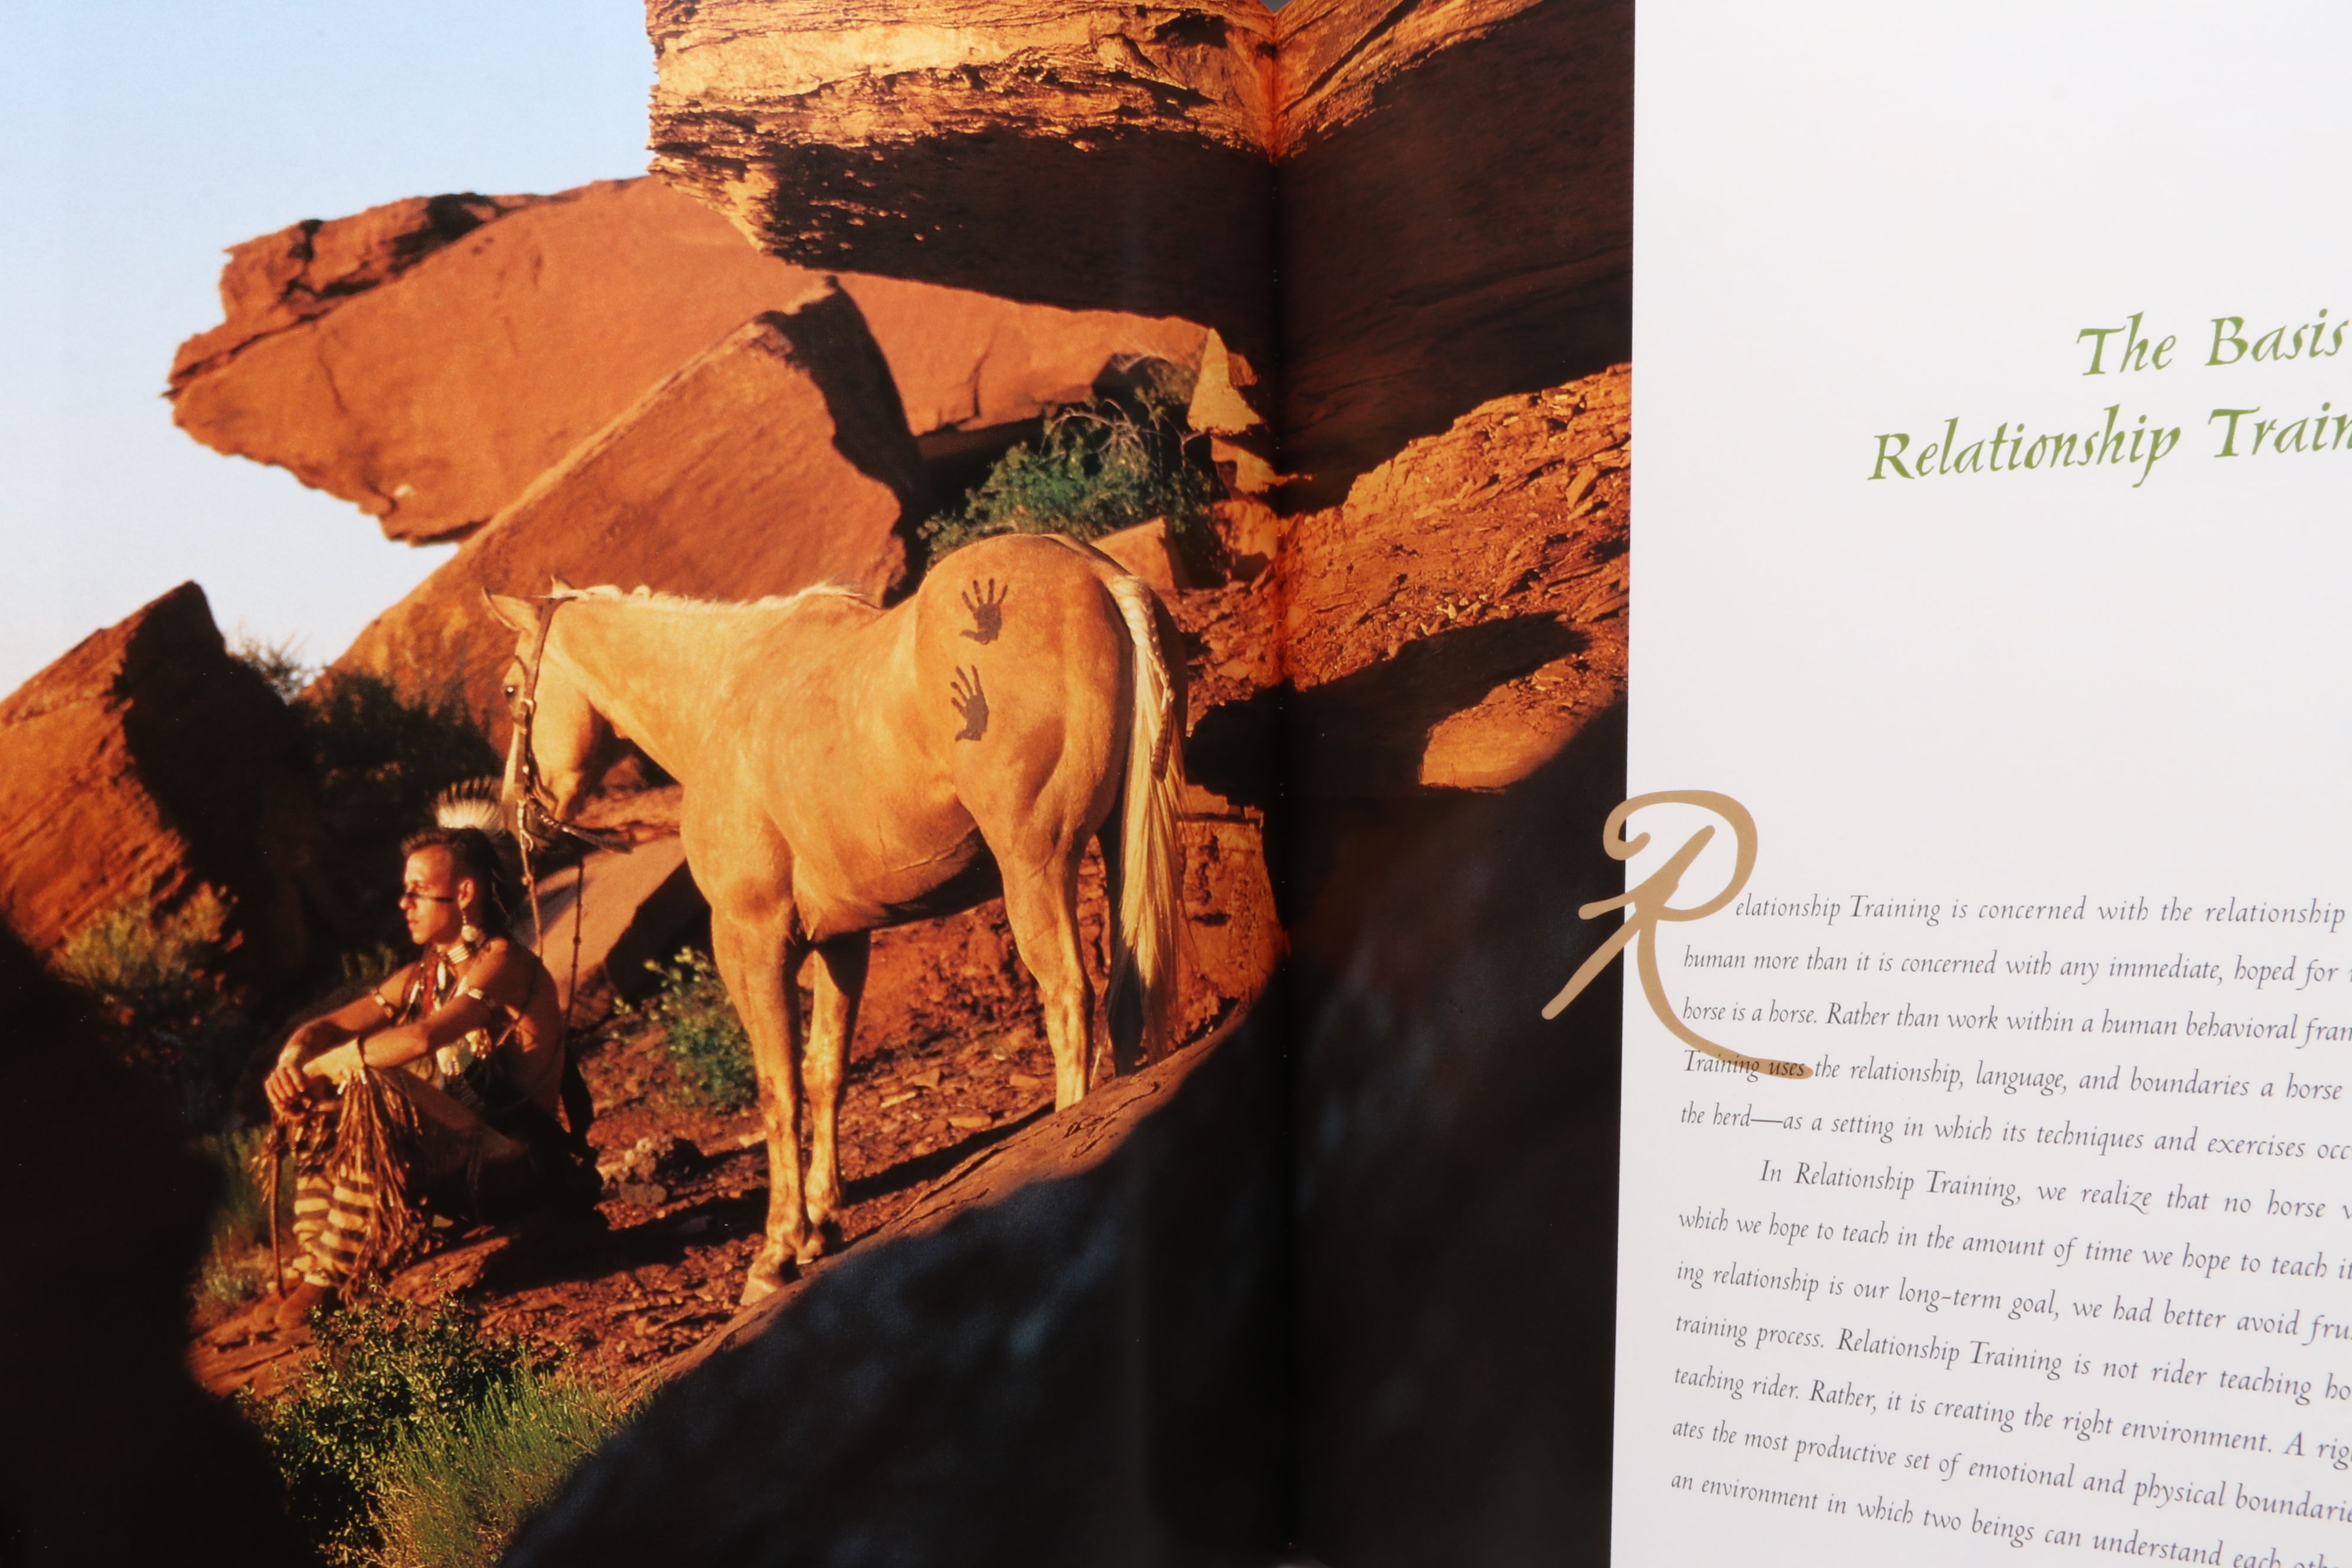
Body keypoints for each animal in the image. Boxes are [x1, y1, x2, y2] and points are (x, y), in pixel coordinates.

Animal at [487, 532, 1185, 1303]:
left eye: (513, 690)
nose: (517, 819)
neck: (723, 696)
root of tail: (1094, 571)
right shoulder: (843, 942)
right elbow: (826, 1072)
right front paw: (822, 1222)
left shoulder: (752, 940)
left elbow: (778, 1087)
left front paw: (776, 1252)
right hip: (1116, 847)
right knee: (1127, 995)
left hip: (1037, 866)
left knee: (1068, 998)